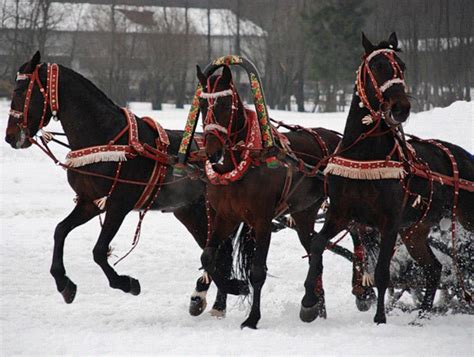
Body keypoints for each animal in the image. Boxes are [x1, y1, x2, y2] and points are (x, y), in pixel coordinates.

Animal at [3, 50, 231, 312]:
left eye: (20, 91)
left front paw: (126, 282)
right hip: (192, 213)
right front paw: (64, 283)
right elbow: (60, 231)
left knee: (219, 252)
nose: (10, 136)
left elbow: (99, 251)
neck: (106, 138)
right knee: (218, 252)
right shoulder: (90, 202)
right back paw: (212, 299)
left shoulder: (119, 205)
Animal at [194, 64, 342, 328]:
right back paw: (315, 306)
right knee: (316, 252)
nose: (212, 152)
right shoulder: (225, 216)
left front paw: (252, 318)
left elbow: (257, 272)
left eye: (225, 104)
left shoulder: (262, 221)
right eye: (202, 104)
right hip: (304, 213)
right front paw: (235, 287)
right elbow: (208, 256)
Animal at [300, 32, 474, 322]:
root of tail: (465, 158)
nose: (401, 108)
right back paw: (421, 316)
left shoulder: (390, 222)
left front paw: (380, 317)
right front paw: (308, 302)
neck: (364, 158)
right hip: (415, 231)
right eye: (378, 66)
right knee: (433, 268)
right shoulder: (341, 214)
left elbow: (383, 272)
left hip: (460, 219)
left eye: (401, 66)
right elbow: (317, 245)